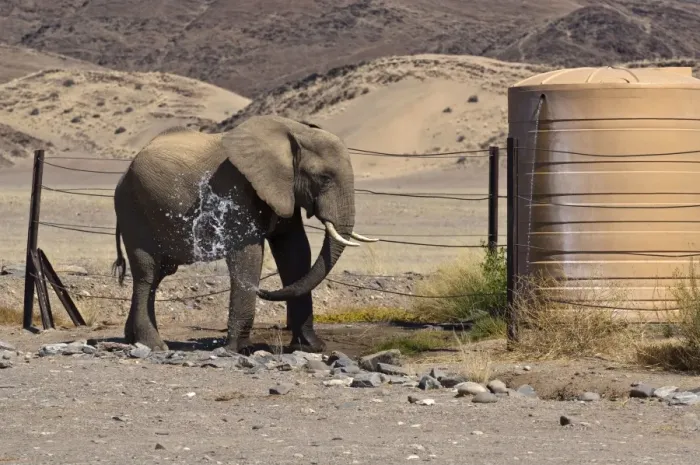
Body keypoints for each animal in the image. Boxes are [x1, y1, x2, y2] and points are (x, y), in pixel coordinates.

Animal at [111, 115, 377, 353]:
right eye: (324, 178)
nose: (263, 291)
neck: (293, 131)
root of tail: (123, 175)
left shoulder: (283, 189)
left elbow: (295, 250)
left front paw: (312, 347)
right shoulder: (234, 187)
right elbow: (248, 254)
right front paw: (238, 350)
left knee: (158, 275)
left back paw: (132, 339)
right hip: (133, 210)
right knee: (147, 275)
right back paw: (154, 346)